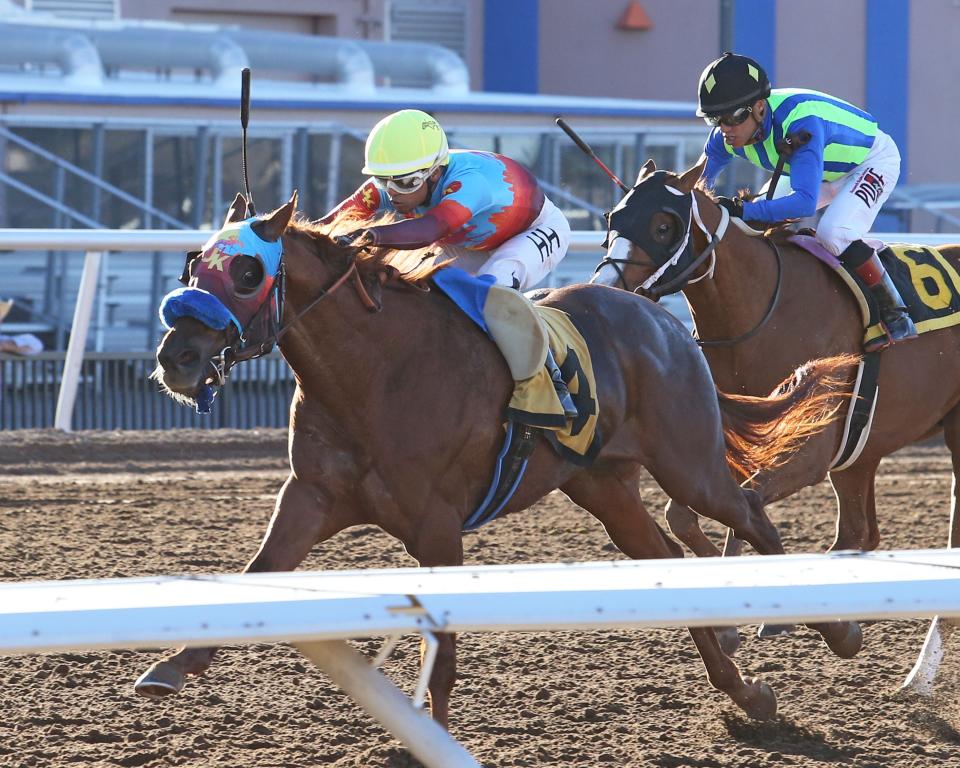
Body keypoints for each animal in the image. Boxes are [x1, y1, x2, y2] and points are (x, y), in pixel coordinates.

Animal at [141, 194, 864, 728]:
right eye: (191, 267)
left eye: (246, 273)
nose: (177, 357)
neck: (374, 372)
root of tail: (665, 322)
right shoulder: (312, 497)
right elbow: (257, 573)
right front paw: (171, 666)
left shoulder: (437, 526)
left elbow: (442, 653)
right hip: (604, 487)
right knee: (666, 555)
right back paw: (747, 693)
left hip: (690, 464)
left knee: (751, 513)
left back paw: (840, 633)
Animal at [596, 160, 960, 568]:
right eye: (613, 217)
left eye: (662, 227)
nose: (607, 285)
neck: (763, 314)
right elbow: (682, 515)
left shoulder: (810, 448)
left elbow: (748, 504)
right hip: (862, 451)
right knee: (859, 533)